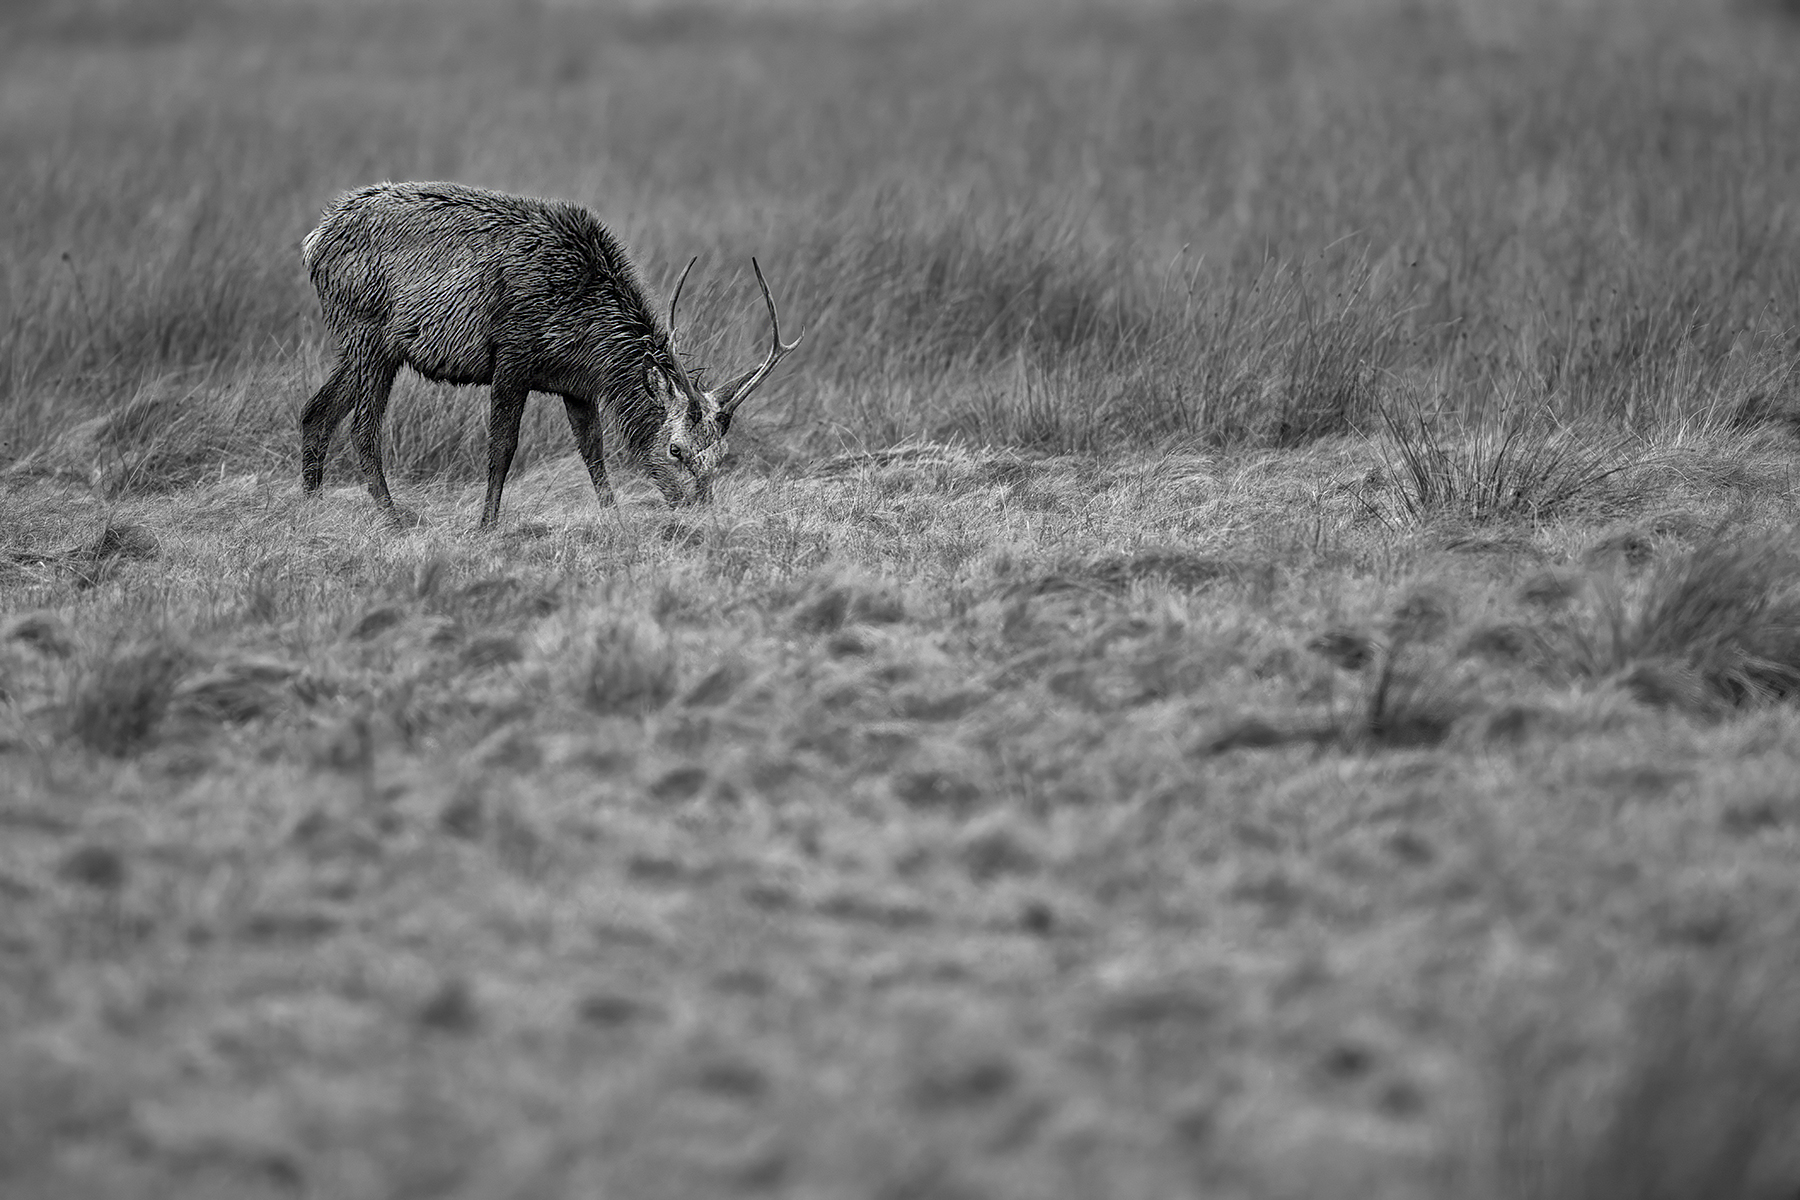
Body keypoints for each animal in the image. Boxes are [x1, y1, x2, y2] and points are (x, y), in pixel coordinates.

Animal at [299, 181, 799, 527]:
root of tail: (313, 240)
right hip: (367, 333)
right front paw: (486, 525)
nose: (701, 513)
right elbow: (502, 447)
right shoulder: (511, 357)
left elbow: (593, 451)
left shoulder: (576, 385)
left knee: (315, 411)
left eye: (723, 454)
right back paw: (392, 517)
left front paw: (614, 518)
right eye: (675, 449)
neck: (586, 335)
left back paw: (312, 506)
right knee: (363, 428)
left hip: (366, 347)